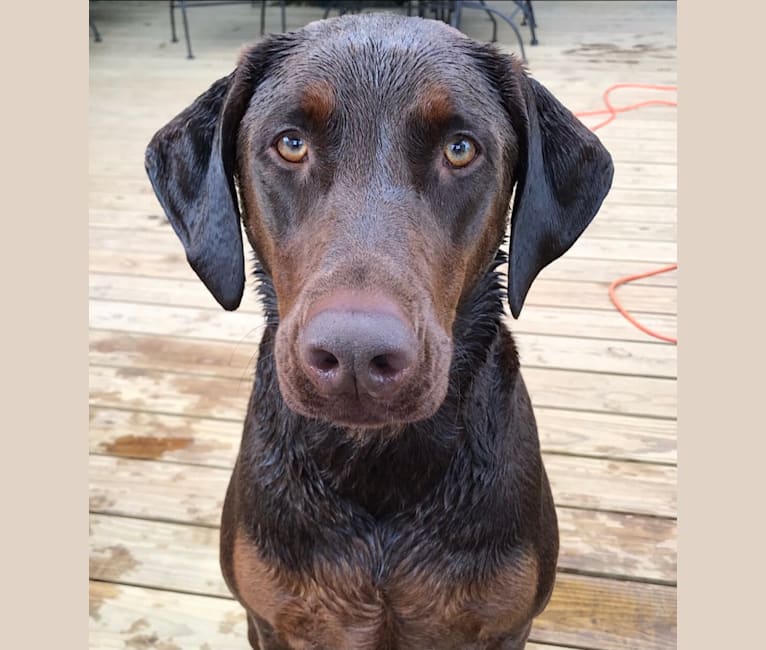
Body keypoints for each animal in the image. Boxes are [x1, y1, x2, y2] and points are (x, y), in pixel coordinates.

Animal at [142, 12, 612, 644]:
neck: (377, 464)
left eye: (460, 149)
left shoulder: (505, 623)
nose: (356, 358)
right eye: (291, 143)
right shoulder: (272, 620)